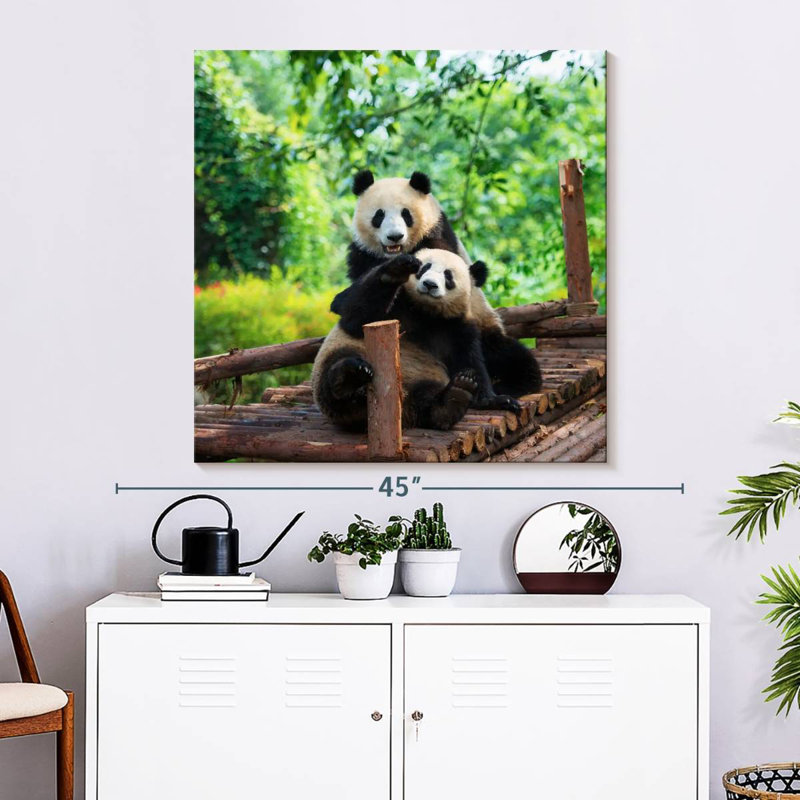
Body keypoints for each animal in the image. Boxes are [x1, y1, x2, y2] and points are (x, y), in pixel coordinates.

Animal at [313, 248, 520, 432]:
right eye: (424, 268)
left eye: (448, 276)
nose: (429, 284)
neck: (426, 312)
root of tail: (402, 411)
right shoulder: (397, 305)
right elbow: (356, 318)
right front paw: (395, 271)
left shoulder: (456, 327)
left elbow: (470, 360)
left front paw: (495, 399)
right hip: (342, 358)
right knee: (337, 373)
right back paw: (349, 377)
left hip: (424, 379)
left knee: (427, 399)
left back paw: (453, 398)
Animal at [334, 169, 542, 398]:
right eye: (379, 215)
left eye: (406, 214)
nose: (395, 236)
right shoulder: (363, 254)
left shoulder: (437, 237)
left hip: (487, 328)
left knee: (514, 358)